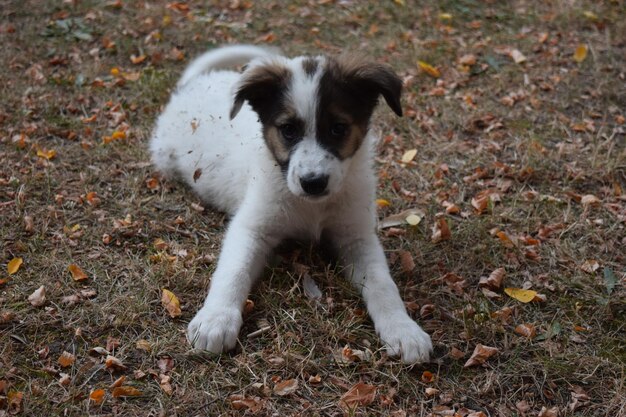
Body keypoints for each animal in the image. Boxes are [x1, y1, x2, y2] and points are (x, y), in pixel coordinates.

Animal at [149, 43, 432, 360]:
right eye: (288, 130)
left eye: (338, 128)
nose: (313, 182)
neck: (312, 207)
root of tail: (195, 83)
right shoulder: (251, 228)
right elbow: (233, 271)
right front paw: (216, 319)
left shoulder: (356, 236)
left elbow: (382, 282)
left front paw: (403, 329)